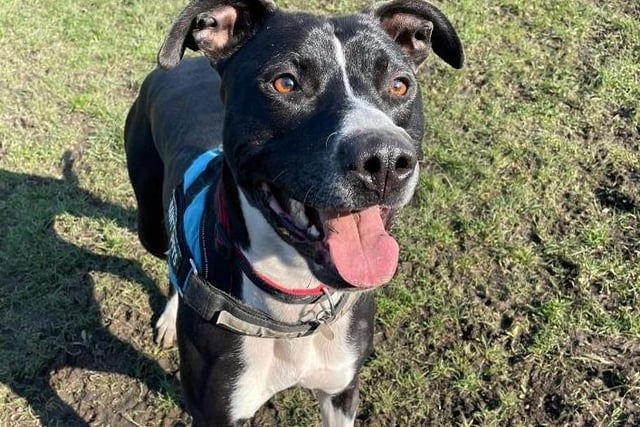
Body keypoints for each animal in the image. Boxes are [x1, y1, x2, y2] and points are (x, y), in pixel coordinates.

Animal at [126, 1, 464, 426]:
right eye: (285, 83)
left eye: (399, 85)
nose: (386, 161)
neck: (294, 300)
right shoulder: (215, 413)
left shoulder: (342, 392)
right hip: (150, 224)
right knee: (172, 260)